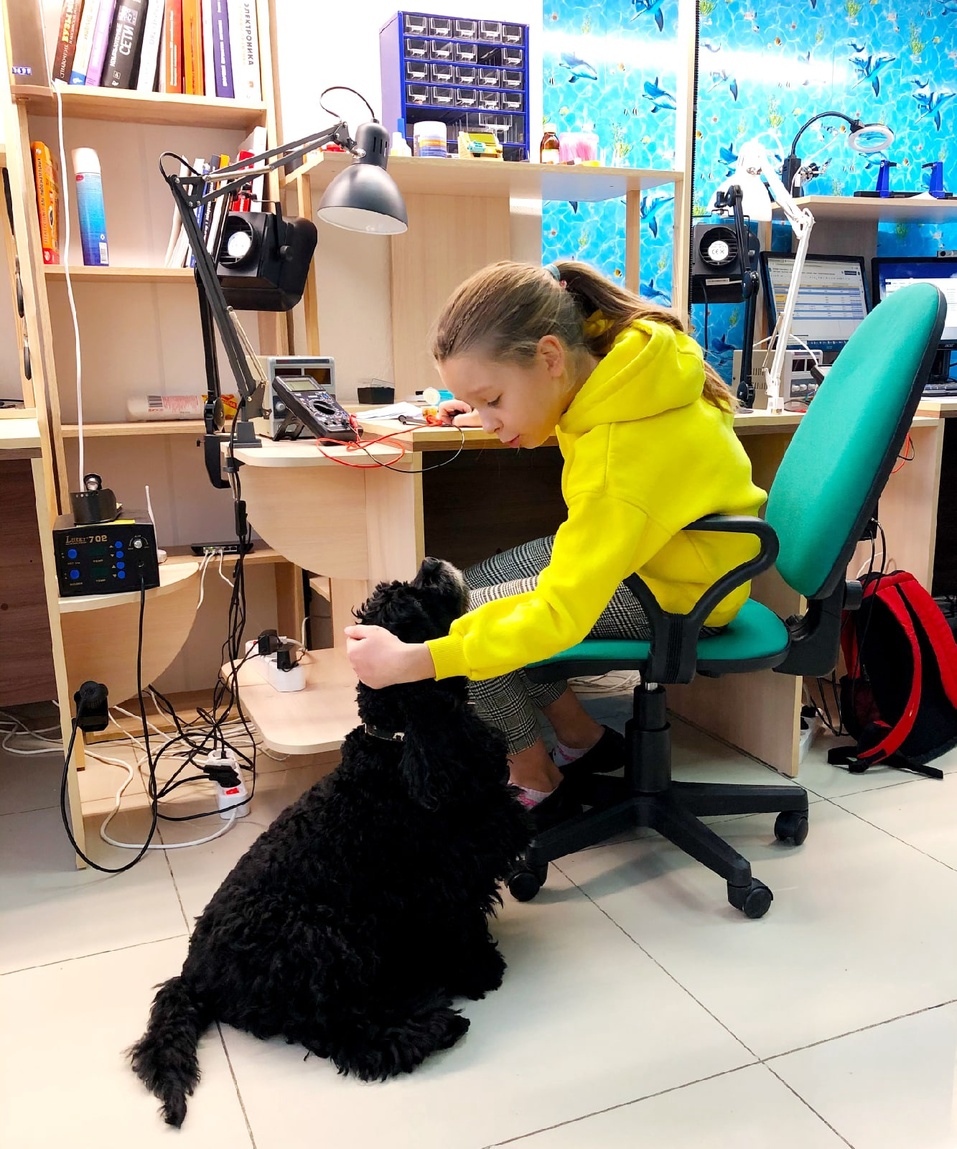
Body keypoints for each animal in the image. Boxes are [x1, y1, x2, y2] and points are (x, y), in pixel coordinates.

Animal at [128, 557, 531, 1127]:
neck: (400, 744)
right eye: (413, 599)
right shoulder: (440, 887)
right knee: (343, 1034)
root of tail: (195, 973)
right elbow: (461, 930)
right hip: (323, 939)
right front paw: (479, 972)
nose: (432, 563)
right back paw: (429, 1028)